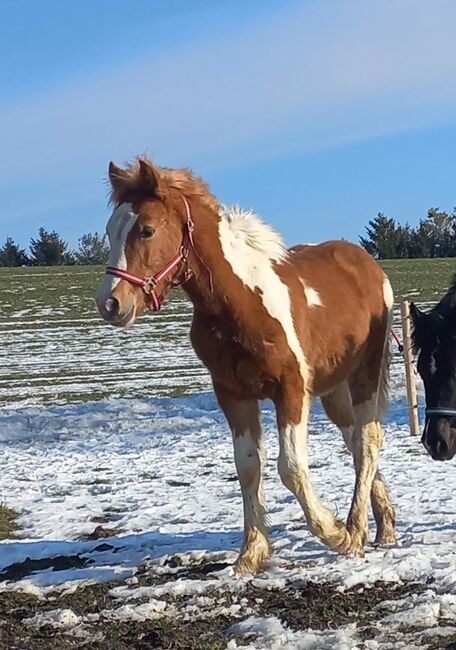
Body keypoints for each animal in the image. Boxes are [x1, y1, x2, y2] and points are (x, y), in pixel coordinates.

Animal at [95, 157, 396, 572]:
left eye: (146, 230)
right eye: (110, 231)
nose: (110, 304)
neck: (238, 304)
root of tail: (367, 263)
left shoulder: (291, 390)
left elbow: (292, 468)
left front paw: (333, 533)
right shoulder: (232, 394)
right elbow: (248, 466)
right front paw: (251, 553)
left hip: (365, 372)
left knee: (368, 441)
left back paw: (357, 529)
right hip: (334, 389)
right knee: (355, 440)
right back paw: (381, 525)